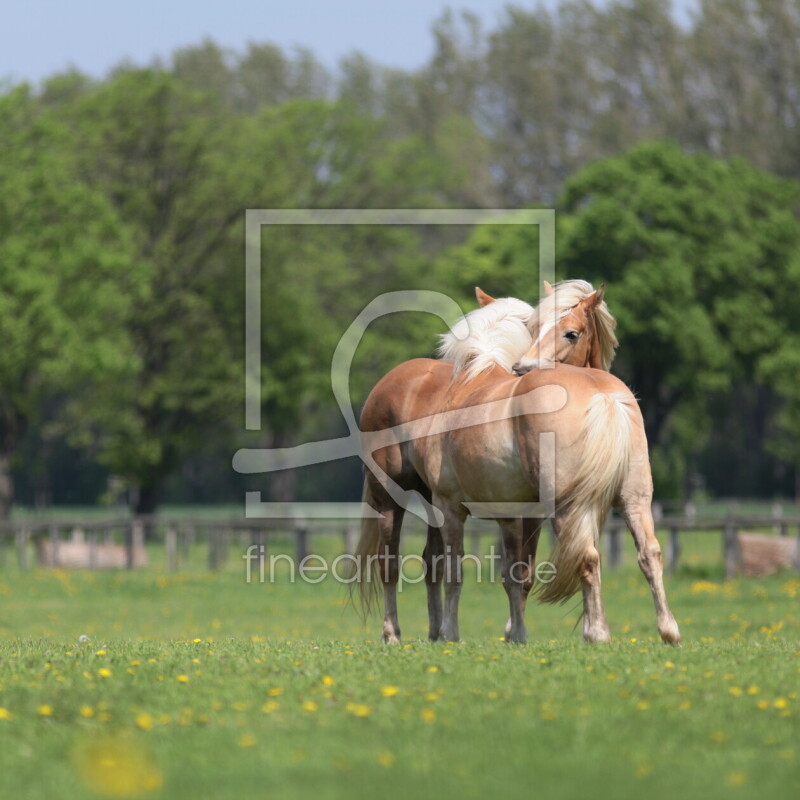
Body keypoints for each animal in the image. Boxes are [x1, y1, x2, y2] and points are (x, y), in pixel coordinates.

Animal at [354, 280, 680, 644]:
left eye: (571, 333)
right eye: (533, 329)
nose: (523, 369)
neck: (471, 378)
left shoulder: (464, 508)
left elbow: (473, 571)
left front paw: (473, 632)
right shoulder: (515, 514)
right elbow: (513, 574)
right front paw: (514, 632)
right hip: (632, 498)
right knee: (647, 553)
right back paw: (667, 630)